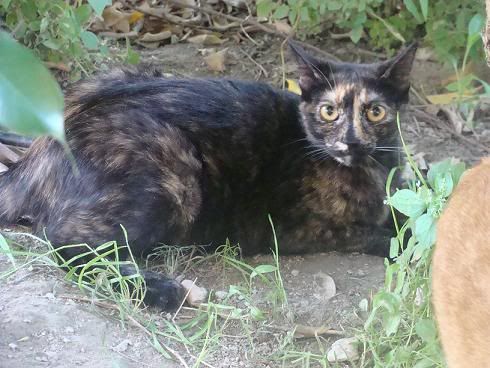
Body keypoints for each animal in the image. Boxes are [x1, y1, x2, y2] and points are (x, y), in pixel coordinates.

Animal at [0, 41, 416, 310]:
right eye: (329, 112)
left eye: (375, 112)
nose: (351, 141)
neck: (374, 168)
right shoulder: (301, 230)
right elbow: (387, 237)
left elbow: (413, 211)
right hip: (174, 174)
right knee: (67, 244)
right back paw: (162, 291)